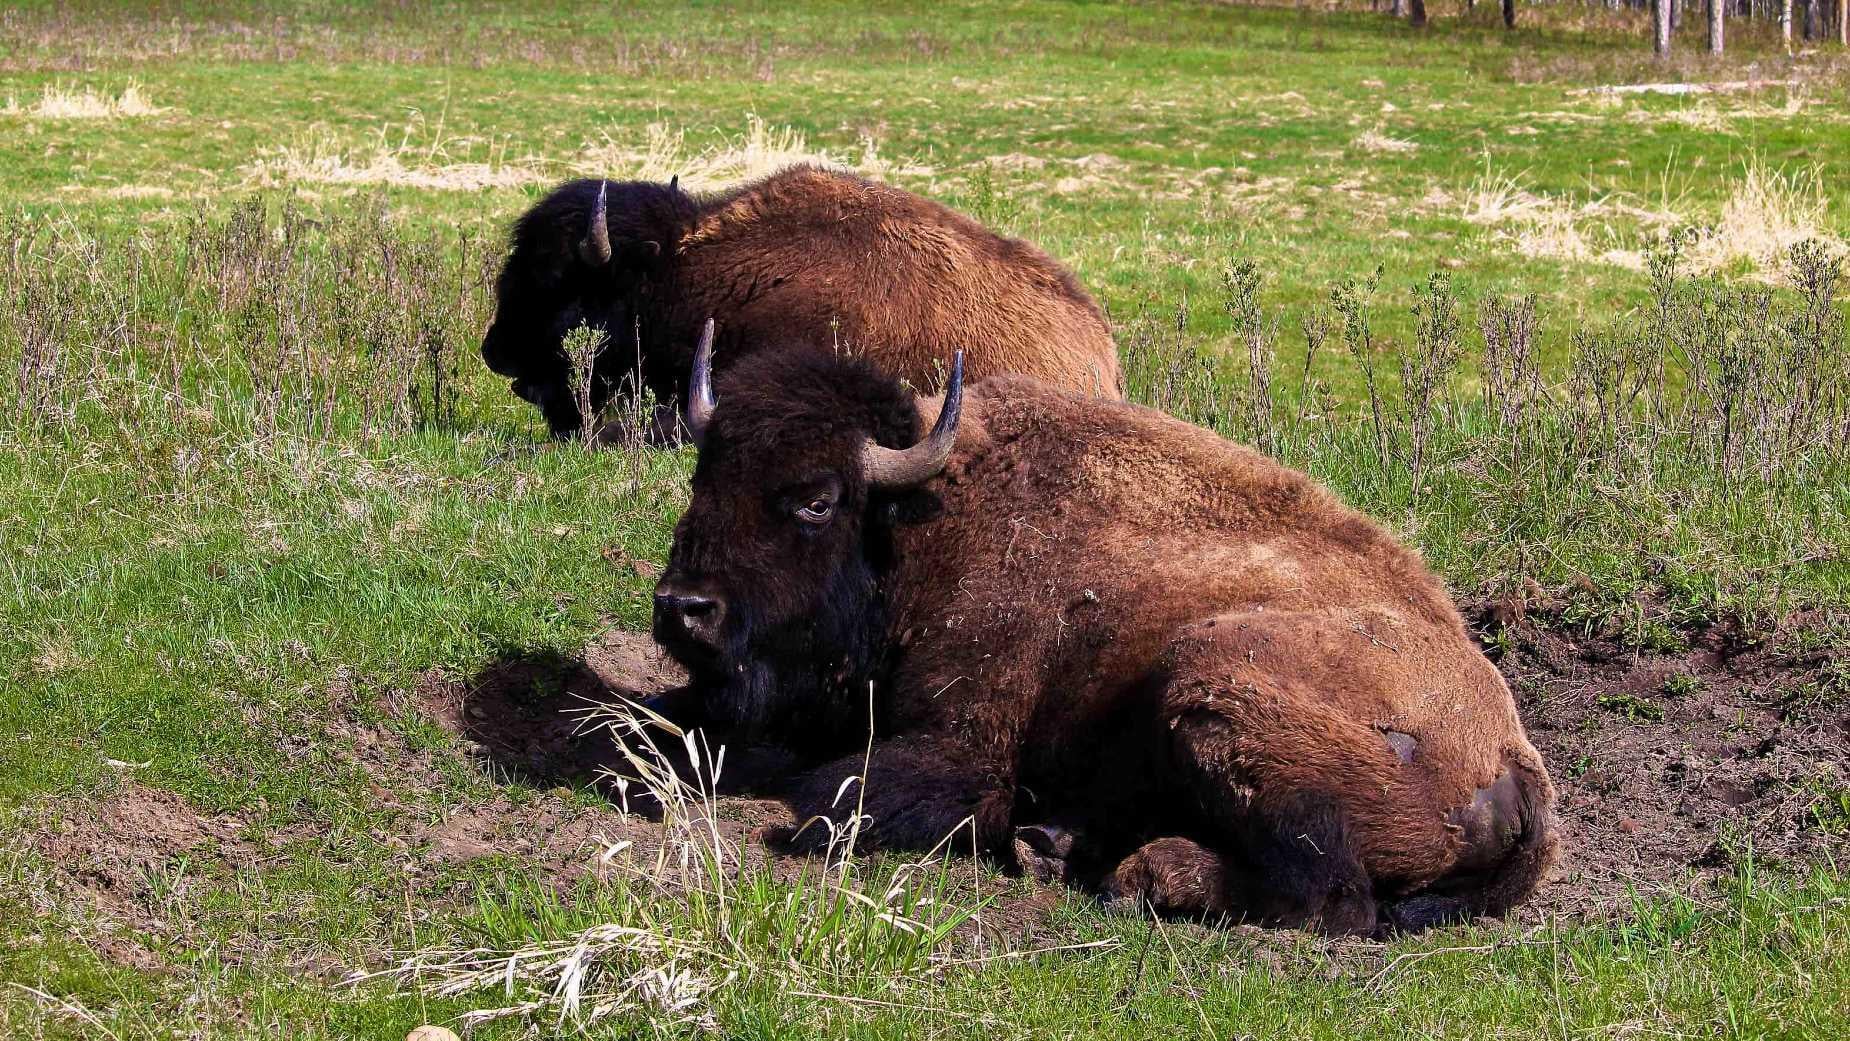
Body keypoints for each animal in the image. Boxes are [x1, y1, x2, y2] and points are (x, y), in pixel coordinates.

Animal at [645, 328, 1559, 935]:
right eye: (703, 475)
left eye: (816, 499)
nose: (684, 607)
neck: (922, 517)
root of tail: (1515, 757)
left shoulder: (962, 741)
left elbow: (837, 792)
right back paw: (1056, 842)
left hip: (1208, 672)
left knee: (1330, 897)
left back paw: (1135, 868)